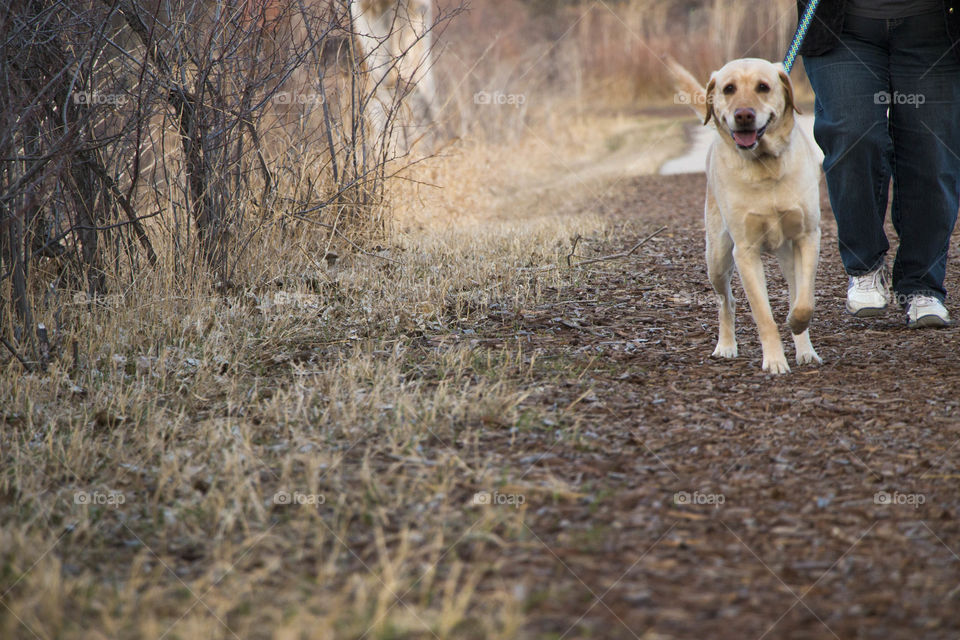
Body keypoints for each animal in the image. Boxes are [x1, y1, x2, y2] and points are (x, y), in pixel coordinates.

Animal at [668, 58, 824, 376]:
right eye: (729, 89)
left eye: (763, 87)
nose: (743, 115)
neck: (765, 167)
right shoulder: (745, 252)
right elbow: (763, 315)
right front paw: (775, 360)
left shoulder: (808, 237)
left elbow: (804, 301)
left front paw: (797, 325)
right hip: (716, 257)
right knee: (726, 301)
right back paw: (726, 345)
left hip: (788, 254)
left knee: (794, 290)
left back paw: (805, 350)